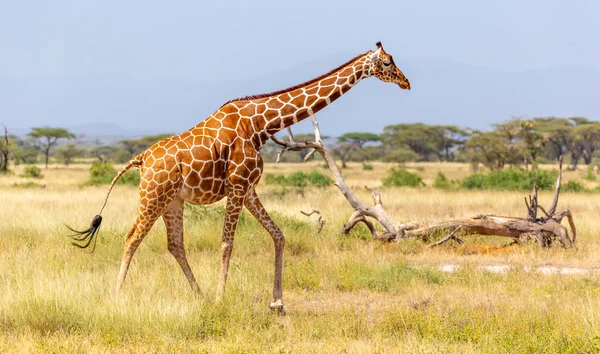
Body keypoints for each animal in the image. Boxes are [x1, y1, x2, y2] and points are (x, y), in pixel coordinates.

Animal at [69, 42, 408, 312]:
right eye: (387, 62)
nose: (406, 82)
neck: (261, 124)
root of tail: (140, 159)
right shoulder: (238, 185)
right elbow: (226, 244)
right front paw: (222, 298)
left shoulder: (249, 189)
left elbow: (278, 234)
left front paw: (278, 301)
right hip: (153, 195)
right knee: (132, 237)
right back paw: (118, 296)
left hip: (173, 201)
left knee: (175, 244)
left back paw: (200, 295)